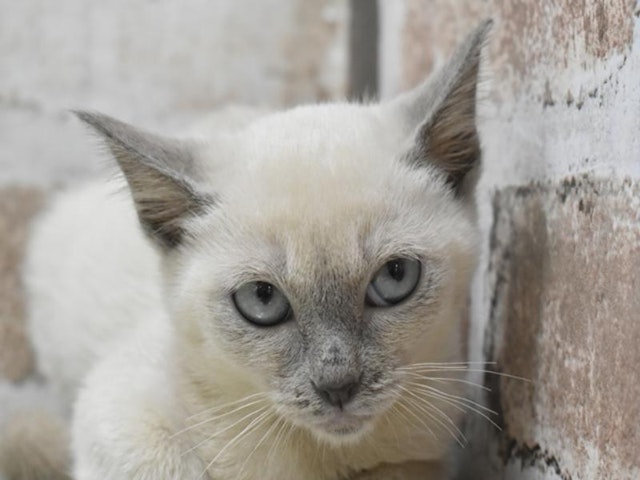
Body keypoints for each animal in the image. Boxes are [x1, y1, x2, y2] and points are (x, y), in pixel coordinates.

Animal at [20, 19, 490, 480]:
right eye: (262, 300)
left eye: (395, 277)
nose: (337, 386)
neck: (319, 463)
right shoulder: (119, 412)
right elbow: (164, 464)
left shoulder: (420, 459)